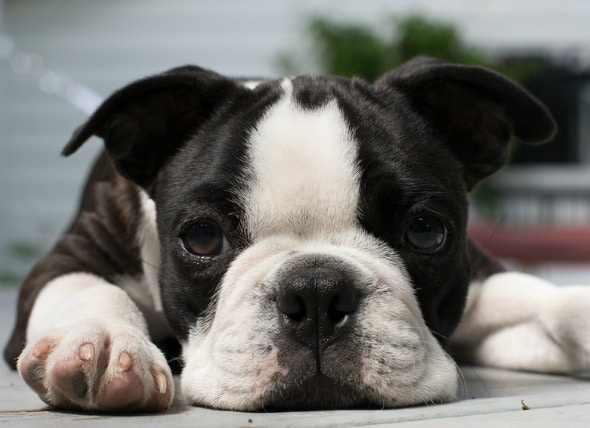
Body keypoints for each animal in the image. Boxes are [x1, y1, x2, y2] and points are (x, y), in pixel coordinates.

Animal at [5, 56, 588, 413]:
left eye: (425, 232)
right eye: (202, 238)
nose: (317, 290)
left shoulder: (481, 278)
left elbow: (539, 300)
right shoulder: (72, 255)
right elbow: (83, 285)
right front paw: (100, 342)